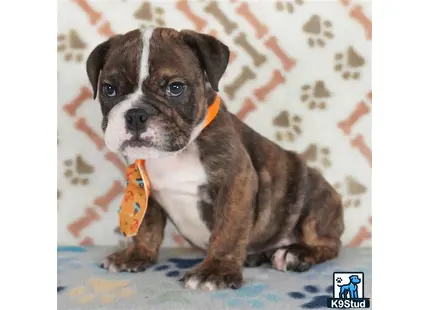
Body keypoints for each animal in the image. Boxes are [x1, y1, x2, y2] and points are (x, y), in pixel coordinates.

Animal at [85, 26, 344, 290]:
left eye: (175, 88)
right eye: (109, 89)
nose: (136, 114)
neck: (173, 155)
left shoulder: (236, 183)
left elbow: (228, 230)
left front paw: (215, 270)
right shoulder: (143, 190)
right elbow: (146, 228)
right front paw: (136, 255)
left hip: (316, 198)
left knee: (329, 243)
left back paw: (296, 254)